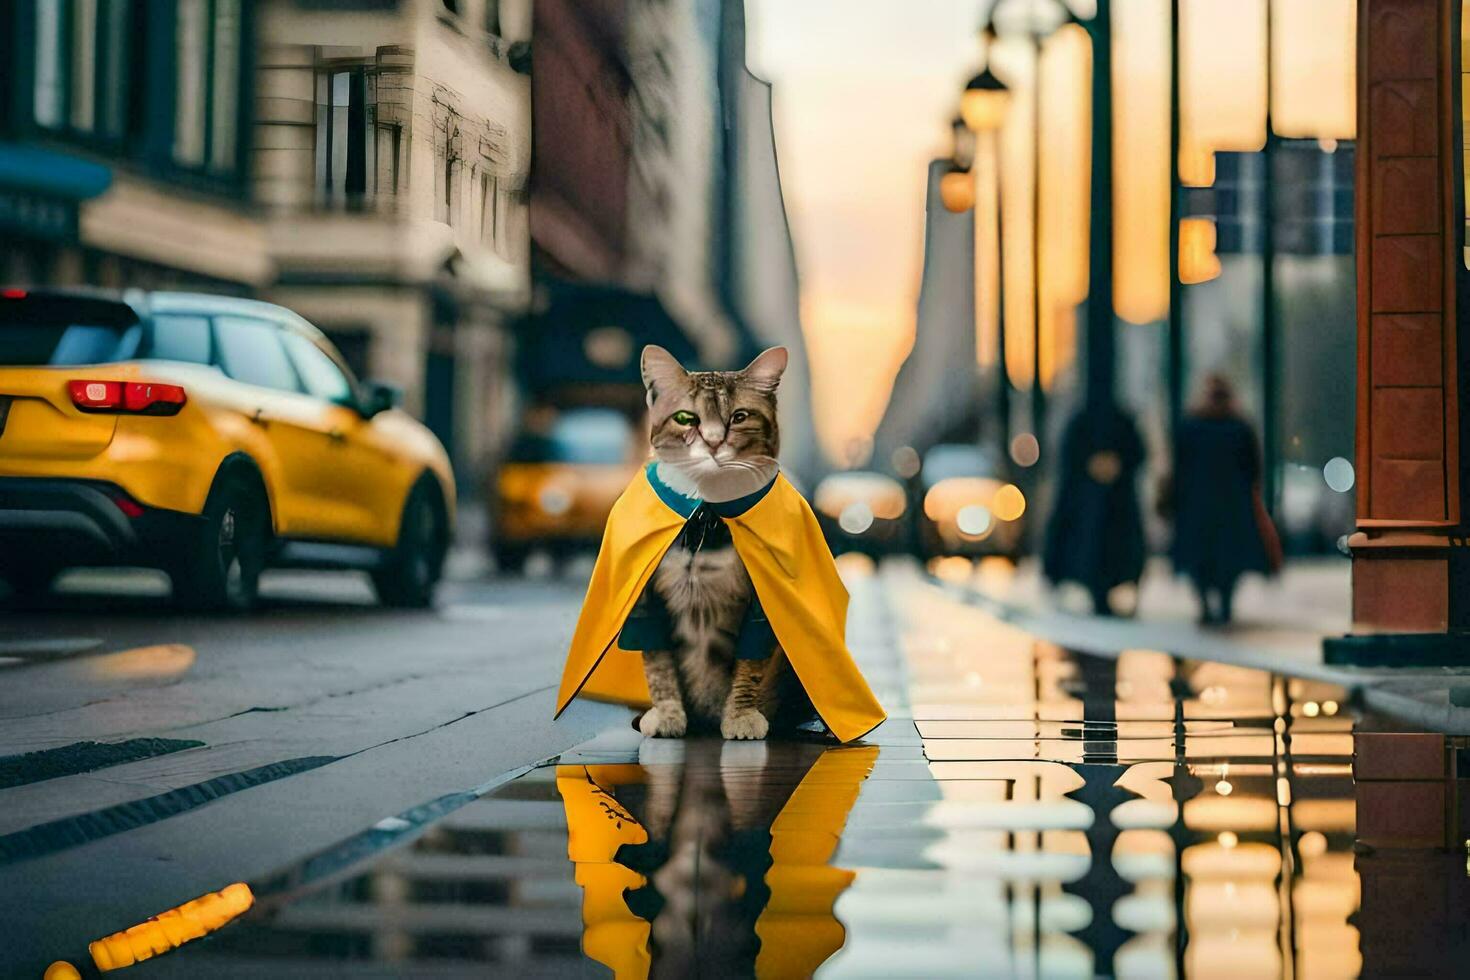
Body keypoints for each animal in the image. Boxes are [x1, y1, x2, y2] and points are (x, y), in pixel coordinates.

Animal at [640, 345, 805, 743]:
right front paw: (667, 715)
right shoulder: (648, 601)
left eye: (739, 417)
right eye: (686, 418)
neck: (707, 519)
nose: (714, 443)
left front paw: (741, 716)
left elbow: (749, 669)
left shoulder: (760, 607)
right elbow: (659, 665)